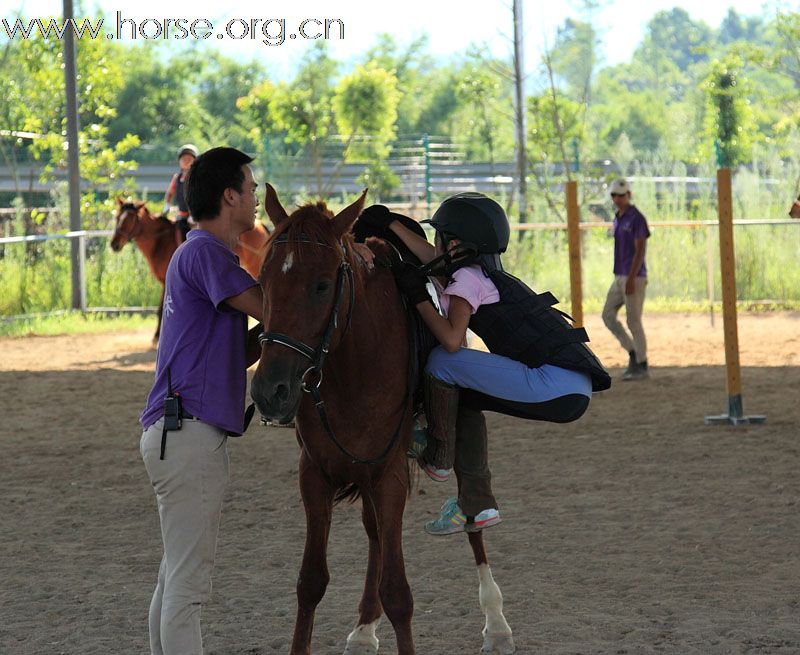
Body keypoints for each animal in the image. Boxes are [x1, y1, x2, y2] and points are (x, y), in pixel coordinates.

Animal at [111, 199, 270, 344]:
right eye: (117, 217)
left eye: (130, 219)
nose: (114, 244)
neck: (160, 241)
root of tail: (260, 224)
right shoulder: (164, 281)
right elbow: (161, 308)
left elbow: (161, 308)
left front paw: (156, 337)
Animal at [248, 186, 512, 655]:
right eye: (263, 281)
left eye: (321, 285)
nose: (269, 391)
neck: (354, 364)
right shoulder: (315, 475)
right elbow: (310, 582)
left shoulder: (389, 476)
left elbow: (398, 592)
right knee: (375, 536)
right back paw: (365, 628)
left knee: (472, 515)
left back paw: (496, 622)